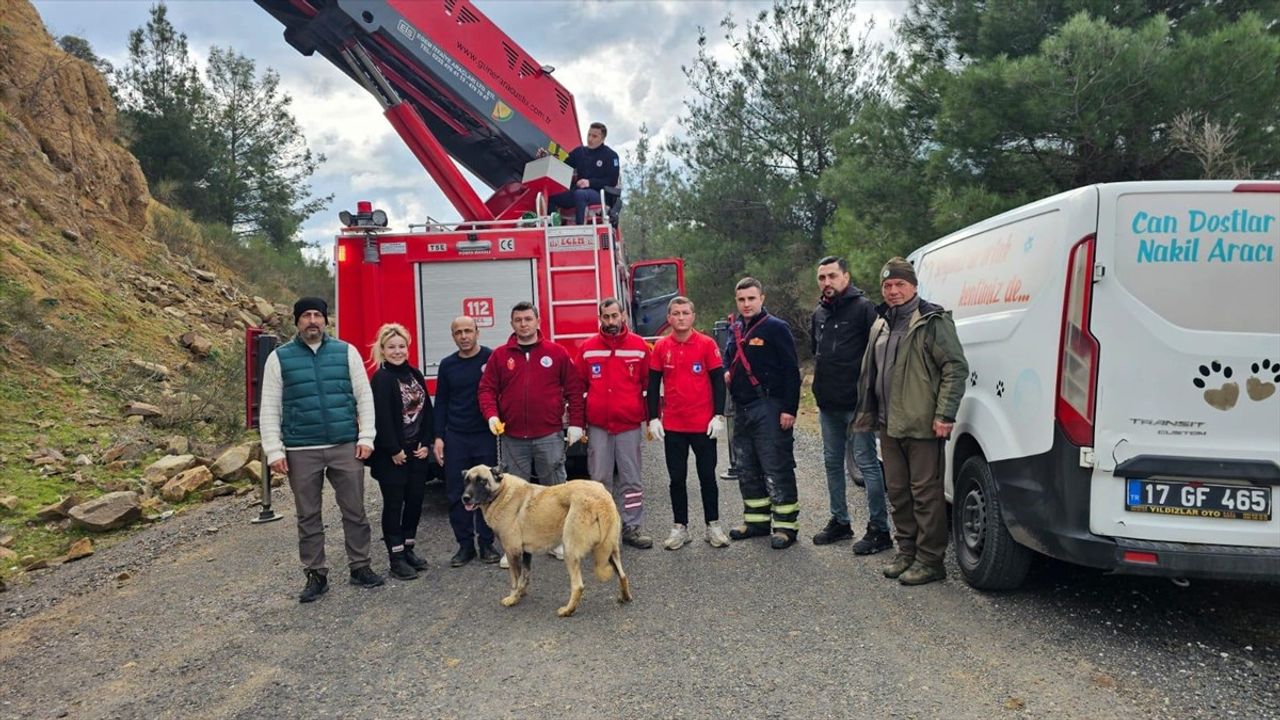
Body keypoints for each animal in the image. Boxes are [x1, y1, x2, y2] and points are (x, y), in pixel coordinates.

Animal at [465, 466, 634, 617]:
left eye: (482, 481)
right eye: (466, 481)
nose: (465, 498)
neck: (502, 492)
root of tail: (601, 499)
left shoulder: (513, 551)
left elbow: (515, 580)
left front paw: (513, 598)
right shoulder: (525, 552)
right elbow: (524, 577)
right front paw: (521, 593)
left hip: (570, 551)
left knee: (578, 586)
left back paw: (567, 610)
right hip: (610, 550)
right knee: (623, 575)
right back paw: (625, 597)